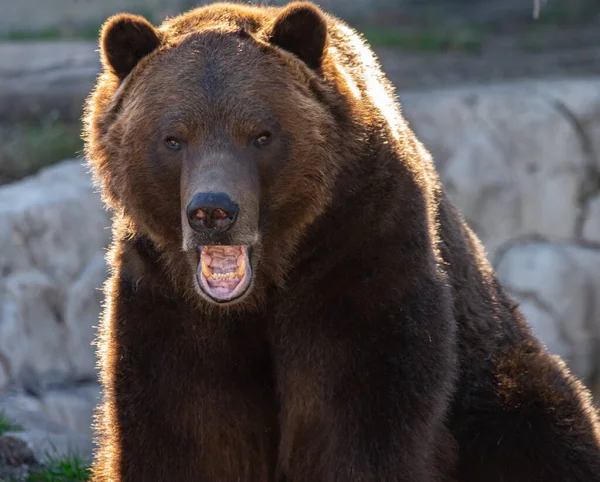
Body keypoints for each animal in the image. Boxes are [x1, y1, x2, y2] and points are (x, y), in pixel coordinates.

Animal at [83, 1, 600, 480]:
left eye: (261, 135)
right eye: (173, 138)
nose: (213, 212)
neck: (269, 280)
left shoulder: (358, 249)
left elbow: (359, 414)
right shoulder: (163, 292)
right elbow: (187, 425)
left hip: (500, 378)